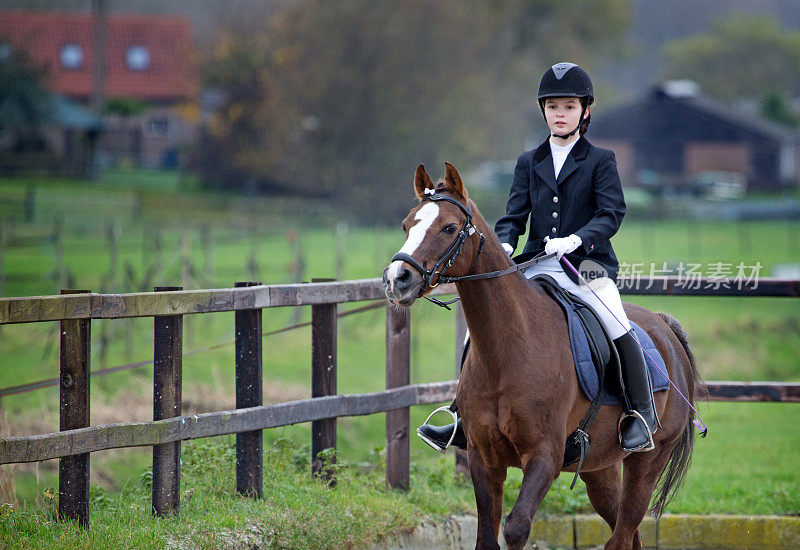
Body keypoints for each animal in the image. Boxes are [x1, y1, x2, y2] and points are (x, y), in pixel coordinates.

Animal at [382, 164, 700, 550]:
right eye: (406, 225)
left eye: (449, 228)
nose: (398, 279)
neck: (509, 354)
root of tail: (665, 329)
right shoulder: (482, 457)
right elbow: (486, 537)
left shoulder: (544, 456)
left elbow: (516, 527)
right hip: (600, 468)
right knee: (627, 533)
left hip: (648, 462)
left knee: (623, 535)